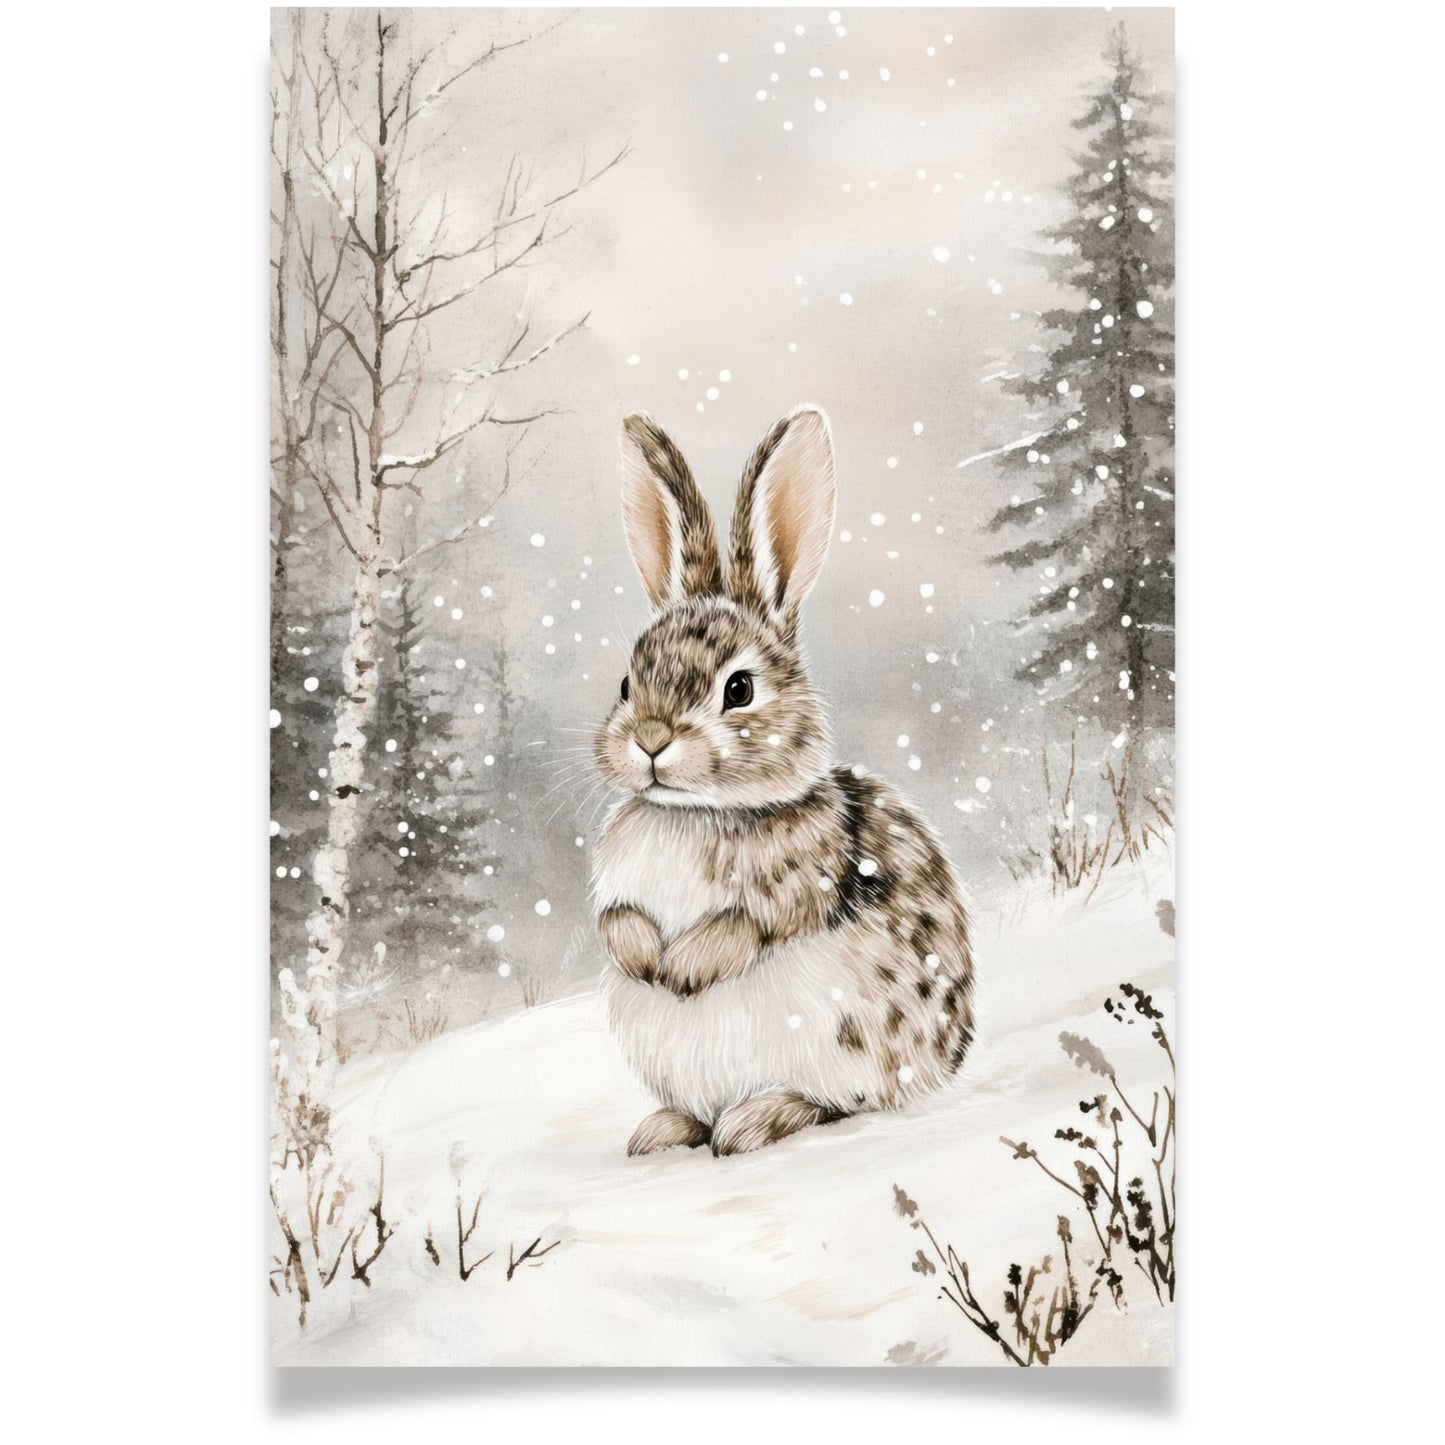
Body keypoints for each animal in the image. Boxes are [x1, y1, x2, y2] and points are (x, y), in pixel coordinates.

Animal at [590, 404, 975, 1158]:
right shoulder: (616, 891)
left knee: (840, 1104)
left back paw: (752, 1122)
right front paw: (647, 959)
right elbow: (615, 921)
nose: (649, 740)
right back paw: (662, 1131)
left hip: (852, 1043)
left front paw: (683, 967)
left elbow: (752, 924)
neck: (695, 810)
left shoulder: (805, 884)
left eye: (738, 689)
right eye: (626, 683)